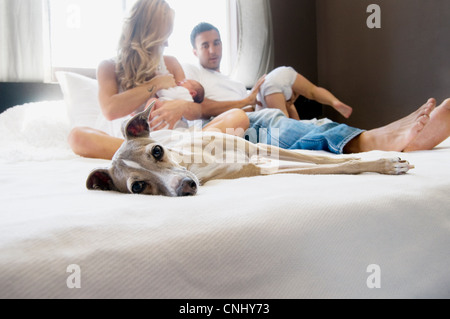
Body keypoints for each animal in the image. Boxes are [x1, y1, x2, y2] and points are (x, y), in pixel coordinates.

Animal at [86, 102, 414, 198]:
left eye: (157, 151)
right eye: (138, 187)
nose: (187, 186)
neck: (197, 162)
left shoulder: (259, 147)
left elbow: (327, 158)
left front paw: (382, 158)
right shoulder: (260, 166)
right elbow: (336, 165)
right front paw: (387, 164)